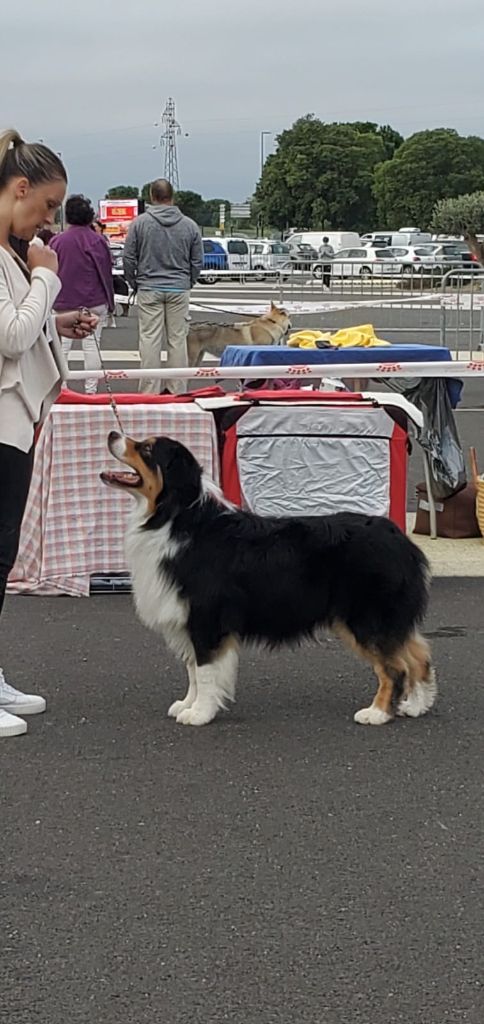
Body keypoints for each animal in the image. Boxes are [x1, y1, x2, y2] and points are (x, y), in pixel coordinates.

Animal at [101, 432, 437, 728]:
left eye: (146, 449)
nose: (112, 433)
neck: (175, 516)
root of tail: (401, 541)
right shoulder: (188, 619)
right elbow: (193, 670)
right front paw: (188, 704)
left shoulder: (206, 618)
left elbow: (205, 670)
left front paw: (200, 713)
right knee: (418, 655)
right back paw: (416, 705)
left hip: (365, 618)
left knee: (394, 668)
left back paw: (376, 713)